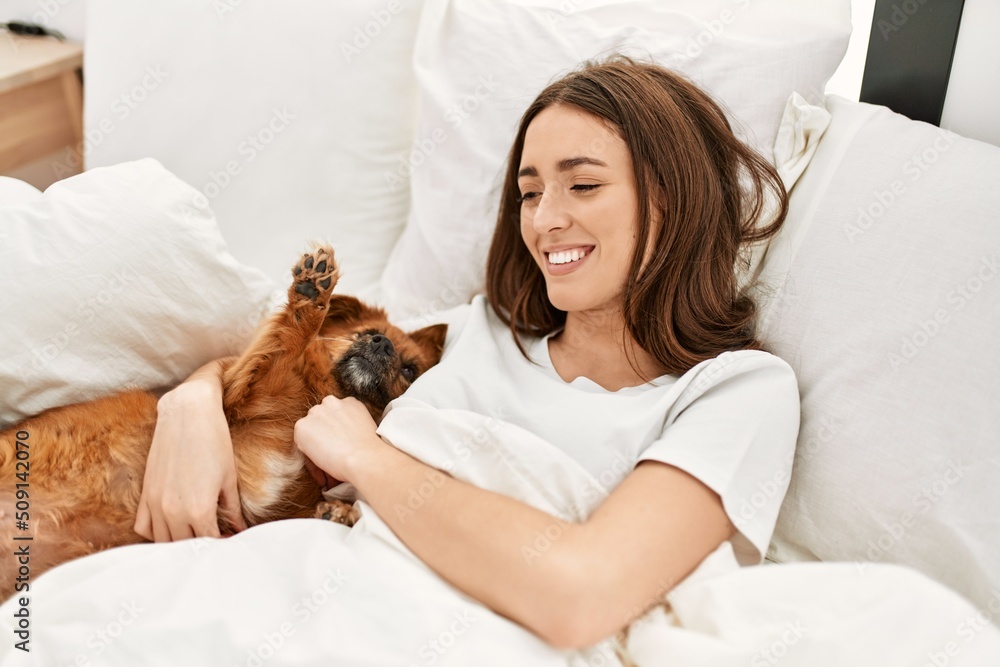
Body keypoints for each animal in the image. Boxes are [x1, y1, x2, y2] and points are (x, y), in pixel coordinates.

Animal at [0, 245, 446, 596]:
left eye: (410, 370)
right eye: (365, 332)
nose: (381, 343)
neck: (320, 396)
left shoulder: (260, 518)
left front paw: (344, 512)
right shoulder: (239, 393)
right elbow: (287, 339)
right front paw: (312, 292)